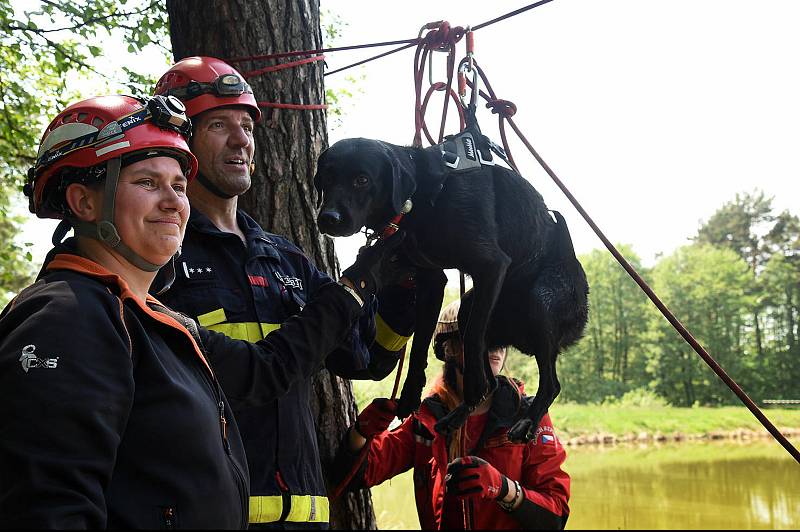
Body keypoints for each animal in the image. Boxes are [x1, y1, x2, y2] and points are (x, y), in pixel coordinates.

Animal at [318, 134, 588, 440]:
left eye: (362, 180)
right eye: (326, 178)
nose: (328, 218)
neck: (425, 194)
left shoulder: (492, 265)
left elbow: (470, 336)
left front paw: (471, 385)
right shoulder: (432, 282)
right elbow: (420, 345)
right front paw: (411, 393)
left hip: (540, 302)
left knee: (550, 383)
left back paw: (526, 421)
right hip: (471, 307)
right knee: (494, 379)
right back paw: (460, 414)